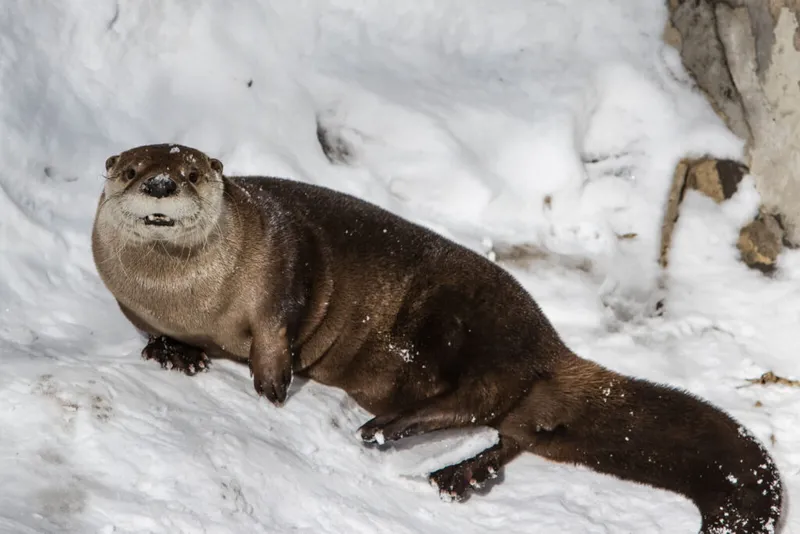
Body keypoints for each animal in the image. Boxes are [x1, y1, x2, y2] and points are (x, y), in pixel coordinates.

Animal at [92, 143, 783, 533]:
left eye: (189, 172)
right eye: (132, 170)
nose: (159, 185)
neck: (189, 298)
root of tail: (548, 343)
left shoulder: (280, 272)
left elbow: (275, 335)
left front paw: (269, 389)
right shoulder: (129, 302)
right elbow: (149, 330)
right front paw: (172, 352)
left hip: (463, 321)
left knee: (481, 396)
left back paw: (390, 431)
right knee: (515, 429)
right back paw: (461, 474)